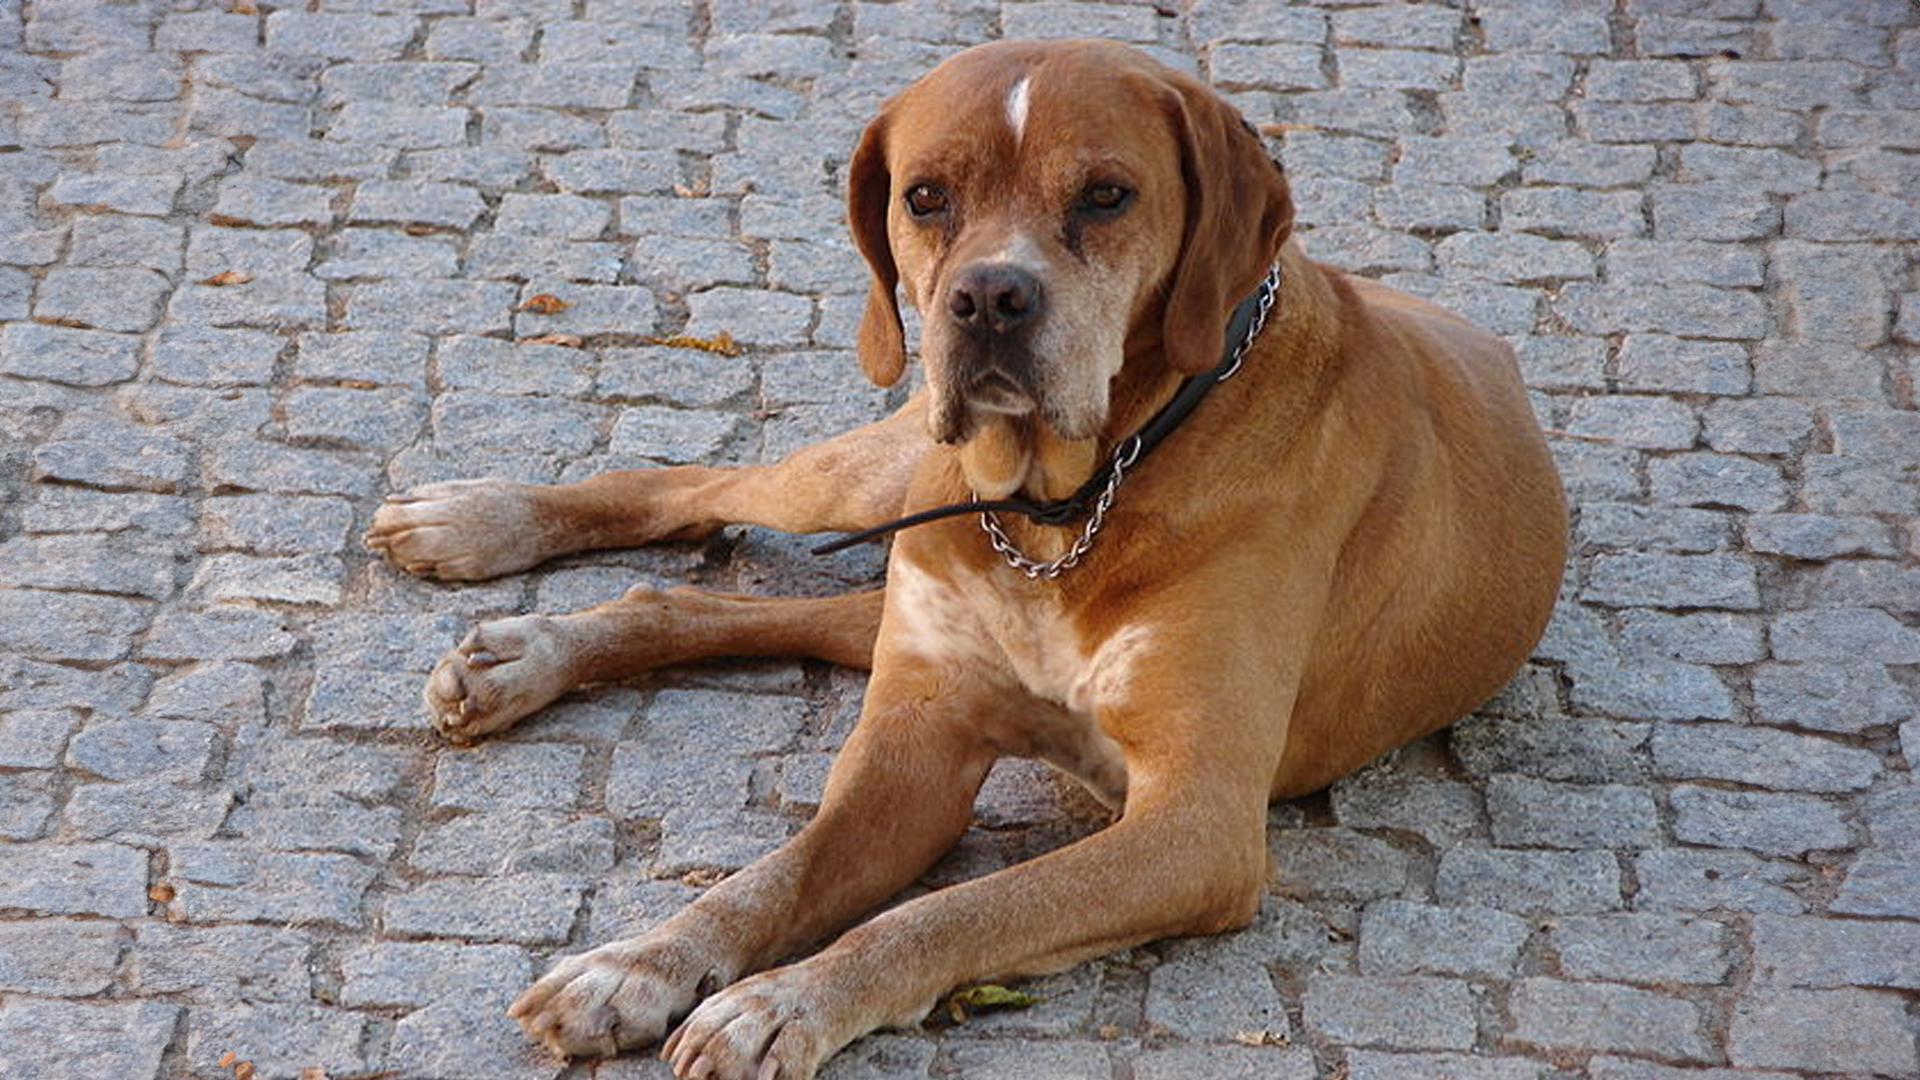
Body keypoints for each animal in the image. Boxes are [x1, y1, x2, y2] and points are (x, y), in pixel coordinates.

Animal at [366, 37, 1566, 1076]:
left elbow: (949, 913)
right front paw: (638, 963)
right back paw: (484, 532)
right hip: (881, 486)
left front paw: (780, 1001)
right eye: (926, 197)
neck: (1065, 508)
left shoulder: (1196, 825)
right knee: (695, 495)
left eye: (1106, 195)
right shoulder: (914, 751)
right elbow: (772, 878)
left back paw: (523, 647)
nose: (989, 296)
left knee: (719, 601)